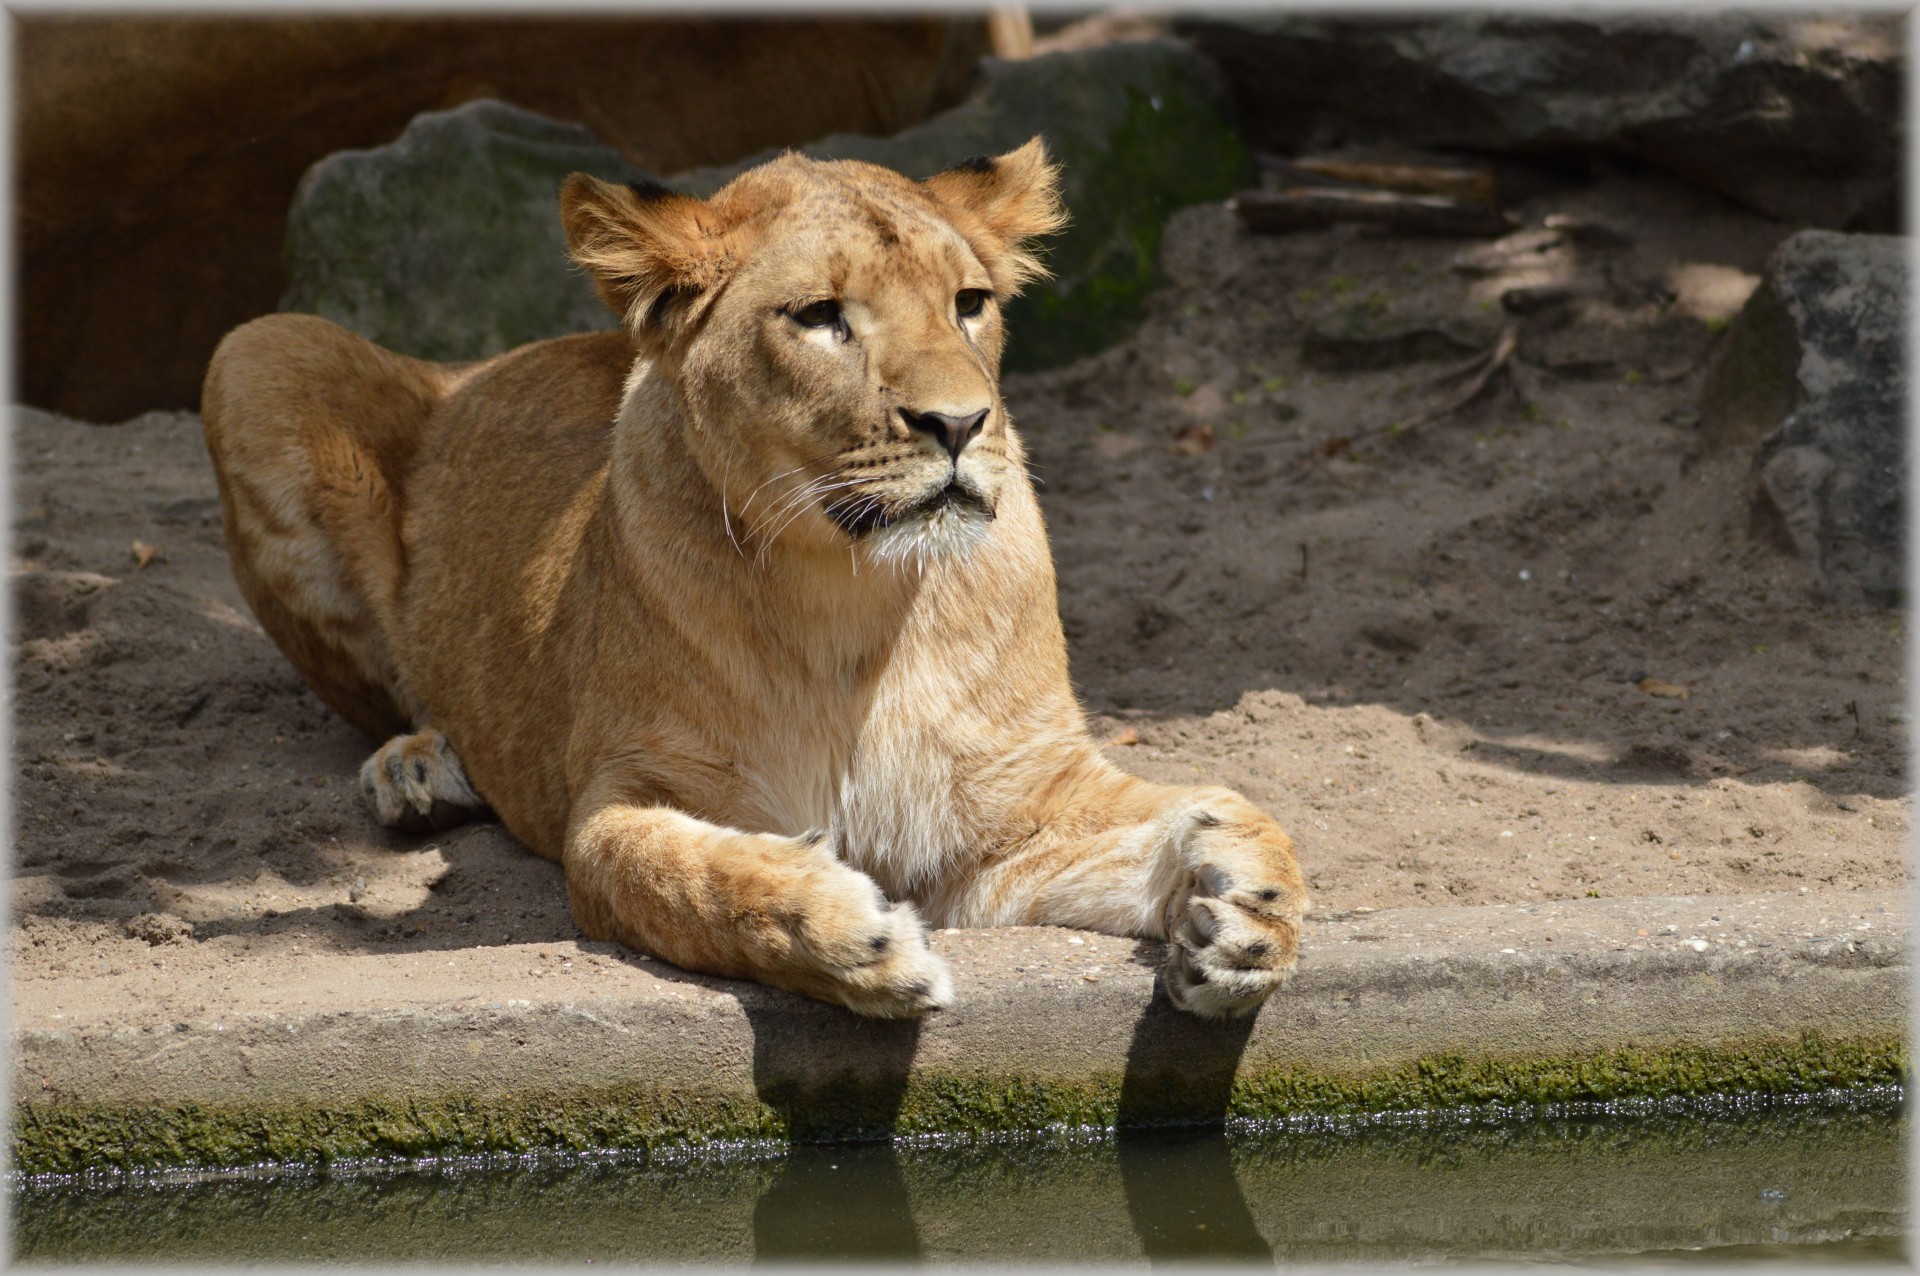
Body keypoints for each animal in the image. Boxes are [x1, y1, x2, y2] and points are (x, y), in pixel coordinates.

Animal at [206, 137, 1305, 1013]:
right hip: (255, 349)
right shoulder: (621, 797)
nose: (961, 424)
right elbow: (687, 872)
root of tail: (470, 366)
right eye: (820, 316)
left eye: (970, 304)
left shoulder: (1006, 820)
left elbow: (1223, 809)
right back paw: (418, 768)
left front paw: (1246, 917)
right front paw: (850, 938)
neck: (855, 600)